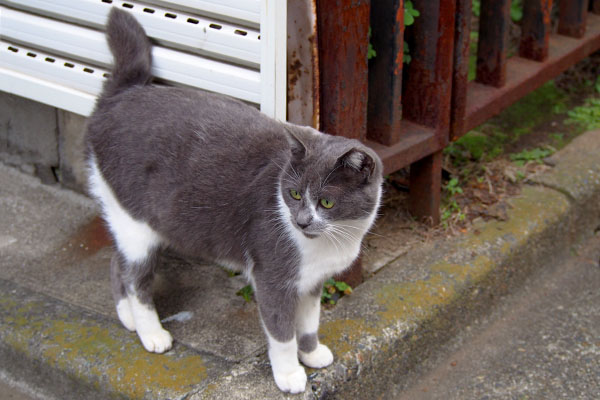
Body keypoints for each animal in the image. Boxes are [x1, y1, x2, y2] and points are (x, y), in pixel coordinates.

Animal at [86, 7, 382, 394]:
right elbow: (282, 332)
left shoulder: (312, 283)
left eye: (327, 203)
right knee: (136, 278)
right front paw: (289, 375)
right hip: (134, 223)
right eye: (294, 193)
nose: (301, 221)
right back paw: (151, 333)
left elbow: (308, 323)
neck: (334, 241)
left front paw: (312, 354)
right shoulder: (273, 277)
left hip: (130, 221)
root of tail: (121, 95)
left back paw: (128, 319)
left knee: (116, 263)